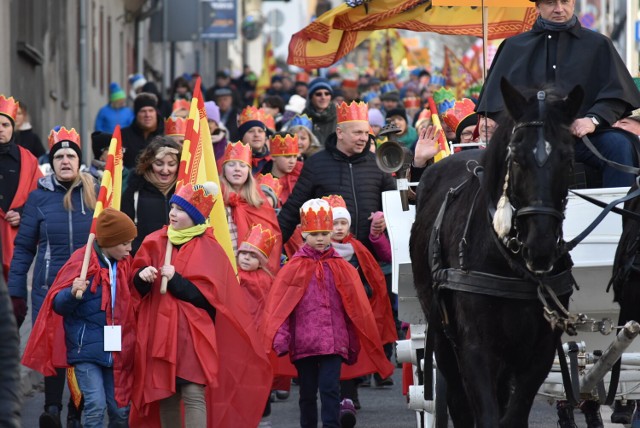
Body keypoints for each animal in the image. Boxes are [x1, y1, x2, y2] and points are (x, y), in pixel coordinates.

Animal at [410, 78, 584, 426]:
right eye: (515, 157)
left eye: (568, 157)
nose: (540, 246)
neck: (511, 263)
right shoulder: (476, 347)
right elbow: (486, 414)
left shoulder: (540, 350)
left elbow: (514, 414)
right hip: (442, 337)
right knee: (458, 400)